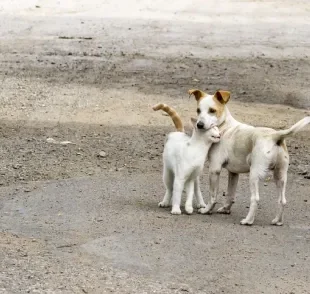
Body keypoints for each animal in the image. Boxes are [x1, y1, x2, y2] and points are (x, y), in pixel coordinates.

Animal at [189, 89, 310, 225]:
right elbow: (230, 194)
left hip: (254, 175)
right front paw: (226, 209)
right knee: (282, 200)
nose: (199, 124)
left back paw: (248, 220)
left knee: (255, 199)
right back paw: (277, 221)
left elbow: (213, 195)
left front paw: (207, 210)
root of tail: (275, 136)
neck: (224, 126)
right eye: (198, 110)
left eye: (212, 110)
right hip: (280, 176)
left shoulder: (214, 169)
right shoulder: (233, 173)